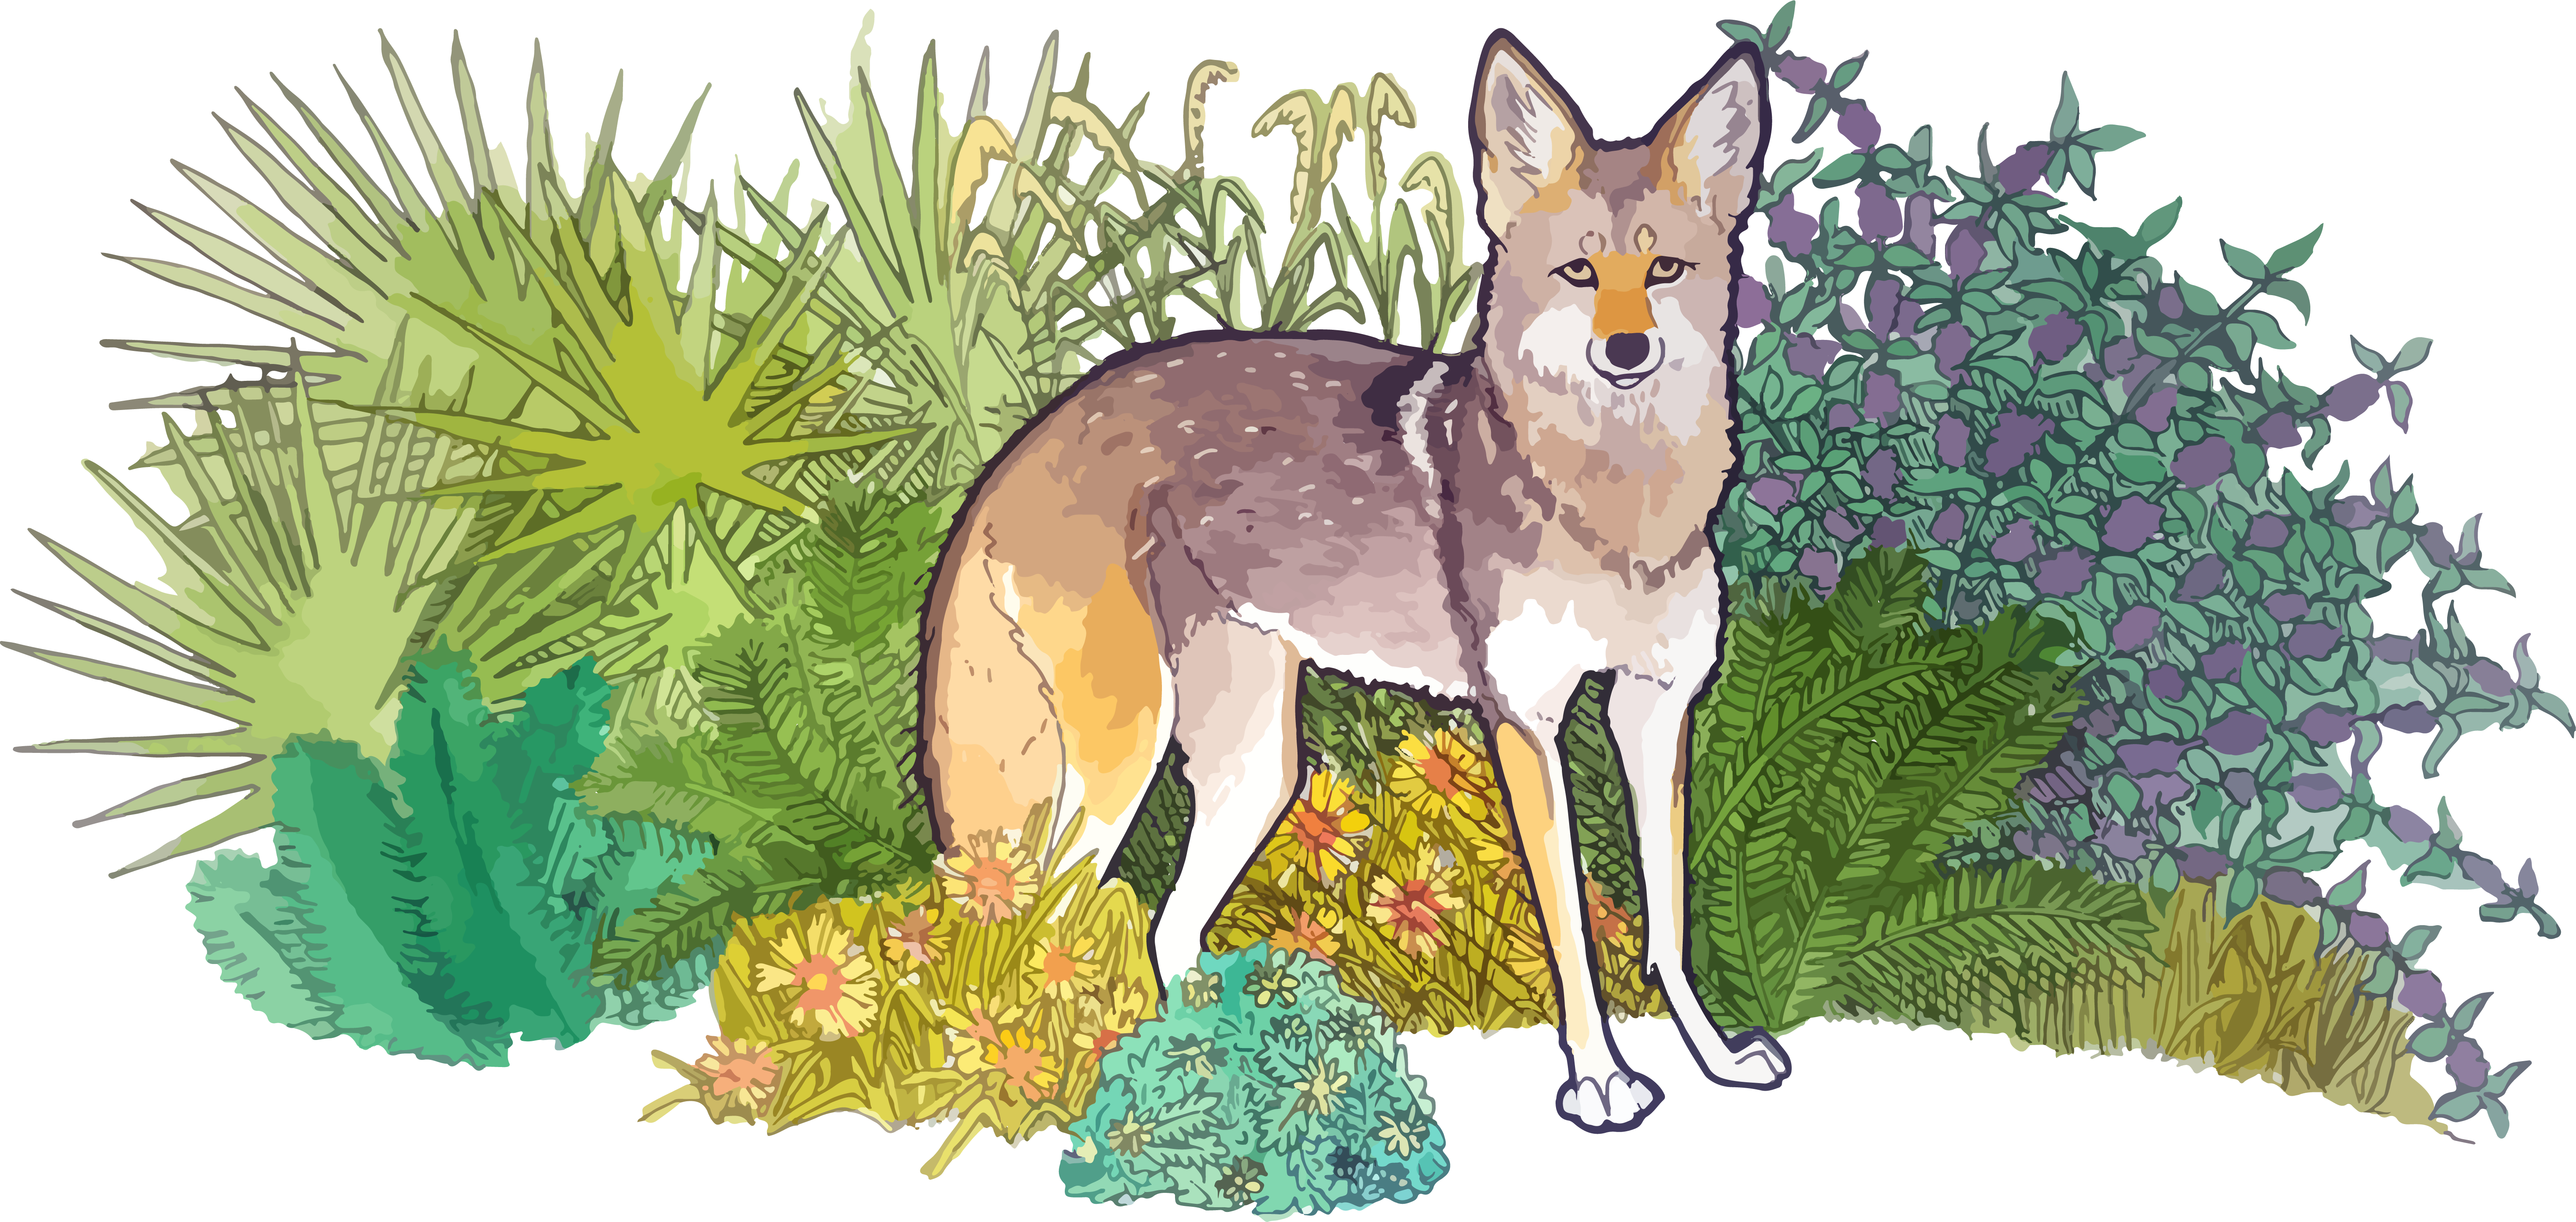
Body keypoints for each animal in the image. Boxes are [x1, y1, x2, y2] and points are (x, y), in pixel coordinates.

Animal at [918, 30, 1786, 1132]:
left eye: (1664, 269)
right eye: (1581, 273)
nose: (1626, 348)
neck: (1614, 513)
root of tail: (1026, 442)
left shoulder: (1656, 708)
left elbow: (1668, 924)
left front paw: (1714, 1058)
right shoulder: (1524, 721)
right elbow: (1571, 931)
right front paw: (1597, 1080)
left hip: (1255, 769)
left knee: (1165, 931)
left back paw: (1215, 1083)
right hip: (1119, 757)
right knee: (1049, 919)